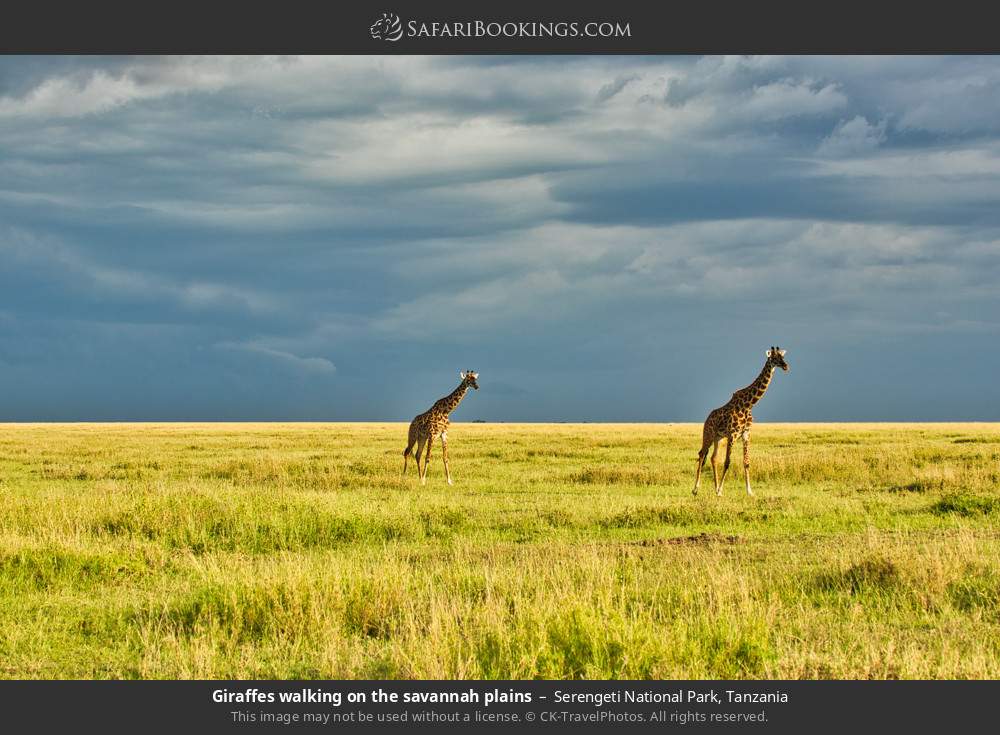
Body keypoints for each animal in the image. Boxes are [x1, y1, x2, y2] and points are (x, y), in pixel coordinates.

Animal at [693, 347, 789, 497]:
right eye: (774, 358)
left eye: (782, 356)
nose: (786, 366)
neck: (749, 405)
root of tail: (707, 419)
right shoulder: (732, 434)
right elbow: (727, 462)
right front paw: (721, 490)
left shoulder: (746, 434)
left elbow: (746, 462)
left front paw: (749, 491)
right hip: (708, 434)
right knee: (702, 454)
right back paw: (696, 488)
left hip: (718, 438)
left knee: (713, 458)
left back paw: (715, 488)